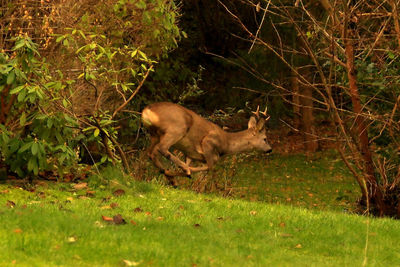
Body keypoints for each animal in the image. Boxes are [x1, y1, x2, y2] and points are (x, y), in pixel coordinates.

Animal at [141, 102, 272, 180]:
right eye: (265, 139)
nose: (270, 149)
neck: (226, 143)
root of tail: (147, 110)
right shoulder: (208, 142)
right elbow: (210, 167)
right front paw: (188, 171)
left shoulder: (190, 154)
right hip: (177, 128)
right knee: (162, 148)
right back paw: (184, 171)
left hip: (155, 134)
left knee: (151, 153)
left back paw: (169, 175)